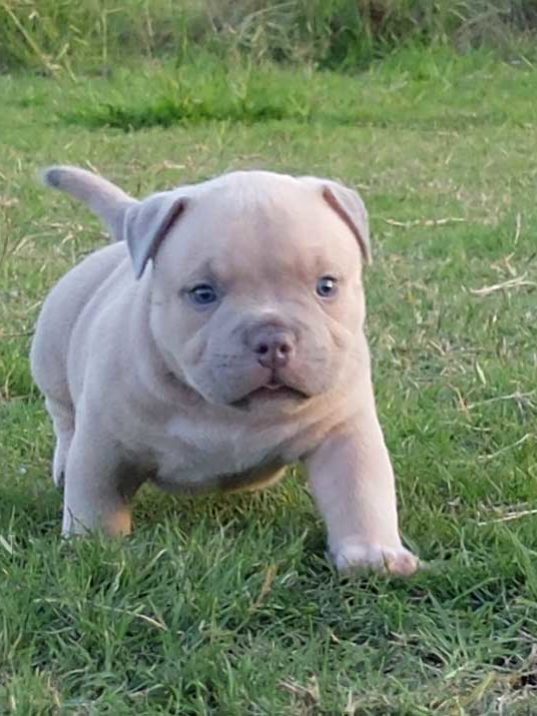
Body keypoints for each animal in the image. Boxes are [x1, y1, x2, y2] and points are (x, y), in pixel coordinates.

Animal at [30, 165, 418, 575]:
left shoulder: (342, 430)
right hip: (52, 353)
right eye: (203, 294)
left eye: (326, 286)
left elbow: (359, 489)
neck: (226, 411)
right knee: (64, 417)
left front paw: (371, 554)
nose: (273, 340)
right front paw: (92, 547)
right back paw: (63, 465)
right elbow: (95, 495)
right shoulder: (106, 441)